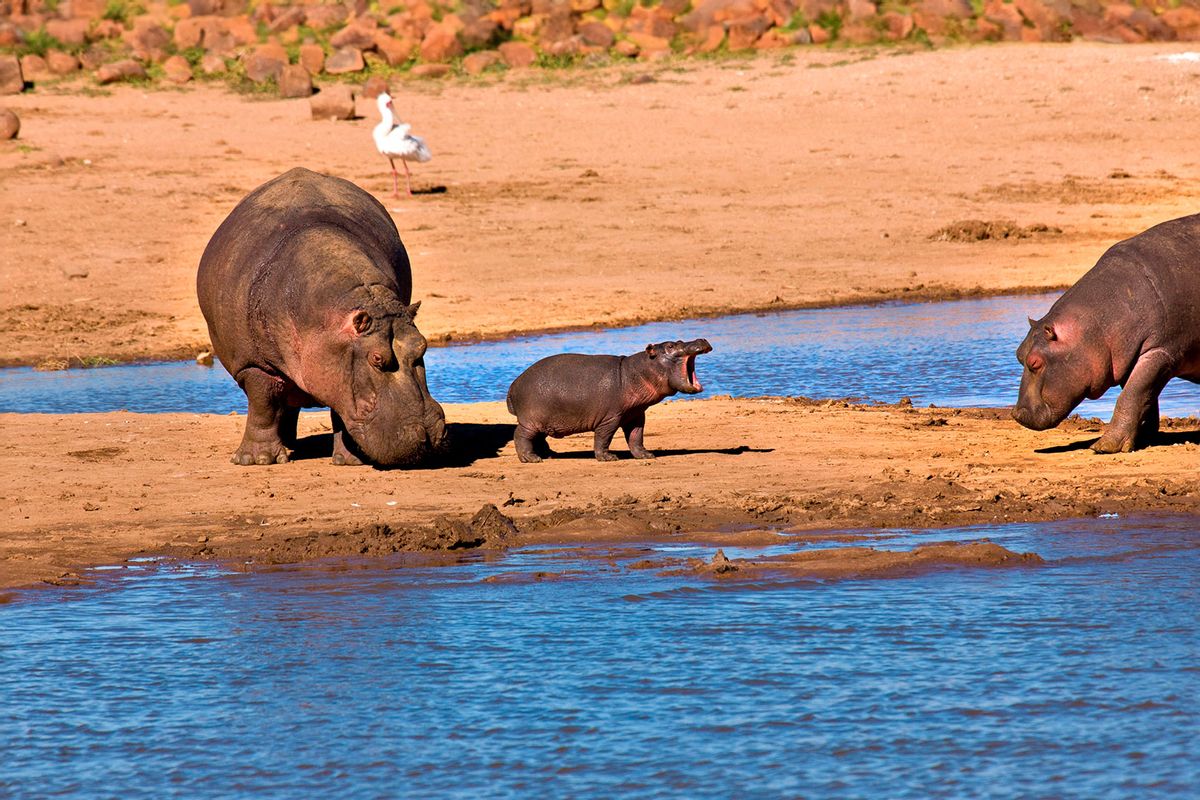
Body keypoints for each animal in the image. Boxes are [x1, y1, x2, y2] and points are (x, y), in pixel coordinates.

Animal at [199, 169, 448, 470]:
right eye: (377, 359)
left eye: (422, 346)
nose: (428, 434)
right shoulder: (253, 365)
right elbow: (263, 404)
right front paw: (256, 460)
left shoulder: (338, 369)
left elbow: (341, 410)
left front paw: (351, 461)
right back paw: (283, 448)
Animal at [506, 338, 710, 462]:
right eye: (670, 346)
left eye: (680, 341)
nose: (702, 339)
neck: (635, 373)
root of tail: (513, 385)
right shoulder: (610, 418)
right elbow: (604, 437)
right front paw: (608, 458)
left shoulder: (635, 415)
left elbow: (636, 436)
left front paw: (646, 455)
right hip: (531, 421)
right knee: (521, 435)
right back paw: (532, 459)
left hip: (544, 422)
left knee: (537, 438)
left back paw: (547, 455)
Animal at [1012, 212, 1200, 450]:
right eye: (1018, 354)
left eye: (1035, 362)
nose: (1017, 414)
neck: (1093, 328)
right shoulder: (1129, 358)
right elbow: (1143, 398)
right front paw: (1144, 438)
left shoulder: (1161, 352)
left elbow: (1131, 395)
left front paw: (1104, 447)